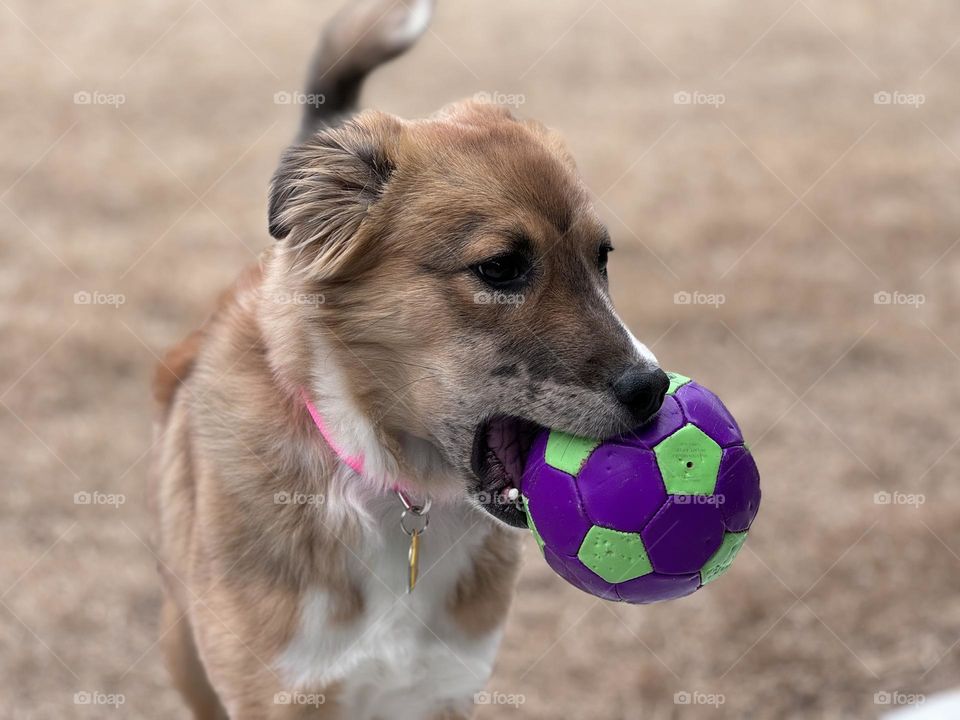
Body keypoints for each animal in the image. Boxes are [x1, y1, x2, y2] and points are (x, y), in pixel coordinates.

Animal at [152, 1, 668, 720]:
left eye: (602, 257)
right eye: (501, 268)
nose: (654, 388)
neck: (394, 486)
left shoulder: (442, 689)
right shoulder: (279, 693)